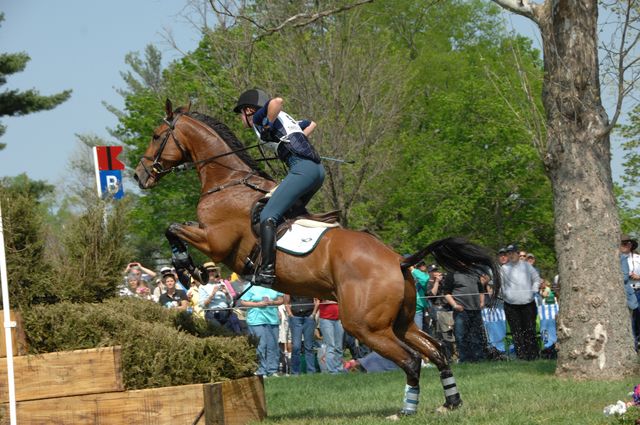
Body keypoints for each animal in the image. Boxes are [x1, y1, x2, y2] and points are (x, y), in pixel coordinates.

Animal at [134, 99, 500, 414]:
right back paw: (450, 403)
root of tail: (399, 261)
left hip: (365, 325)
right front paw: (187, 270)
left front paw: (186, 269)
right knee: (436, 351)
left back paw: (406, 411)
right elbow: (174, 228)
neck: (228, 182)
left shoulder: (216, 241)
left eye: (156, 136)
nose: (139, 175)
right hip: (400, 321)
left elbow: (173, 228)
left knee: (411, 360)